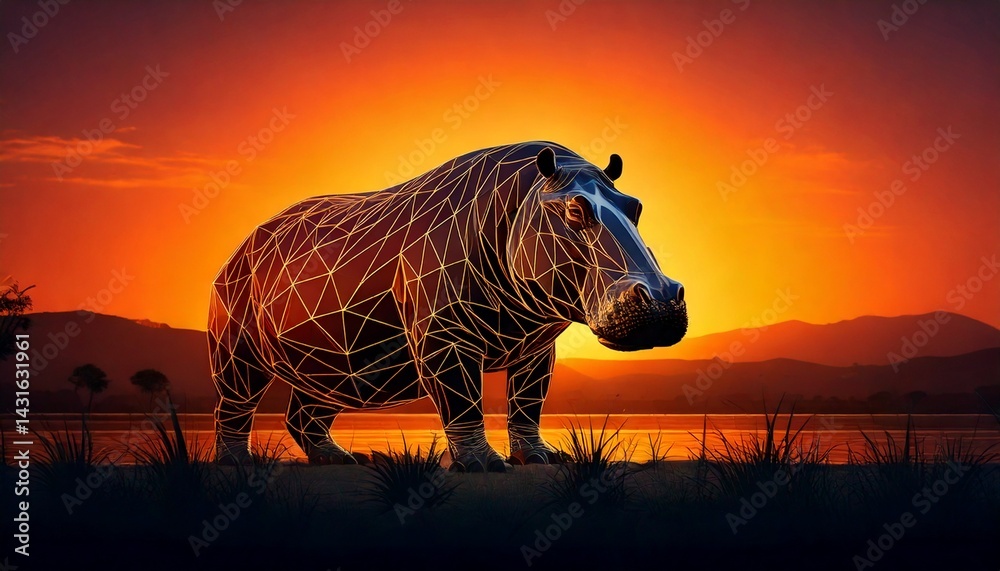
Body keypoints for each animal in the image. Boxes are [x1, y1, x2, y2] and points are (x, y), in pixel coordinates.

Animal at [209, 141, 687, 472]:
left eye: (636, 206)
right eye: (574, 209)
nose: (663, 300)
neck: (525, 197)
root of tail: (243, 242)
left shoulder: (536, 344)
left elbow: (528, 402)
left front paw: (543, 459)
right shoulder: (446, 337)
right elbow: (463, 400)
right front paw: (483, 466)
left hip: (325, 353)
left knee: (311, 404)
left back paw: (339, 458)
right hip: (236, 336)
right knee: (236, 399)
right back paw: (239, 462)